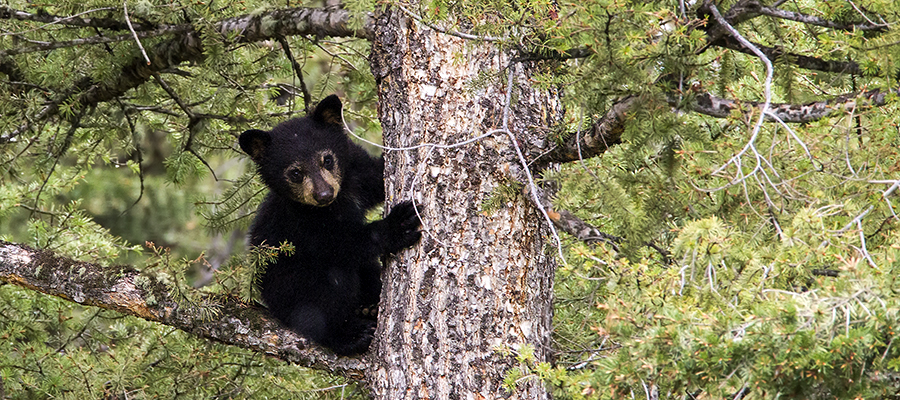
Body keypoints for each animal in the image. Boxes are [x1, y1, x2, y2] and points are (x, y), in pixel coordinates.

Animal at [239, 95, 422, 356]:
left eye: (327, 159)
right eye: (295, 173)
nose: (324, 195)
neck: (338, 202)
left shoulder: (356, 173)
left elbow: (377, 175)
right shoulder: (300, 223)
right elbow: (341, 243)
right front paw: (398, 225)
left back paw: (369, 306)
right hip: (295, 292)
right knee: (323, 303)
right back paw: (349, 335)